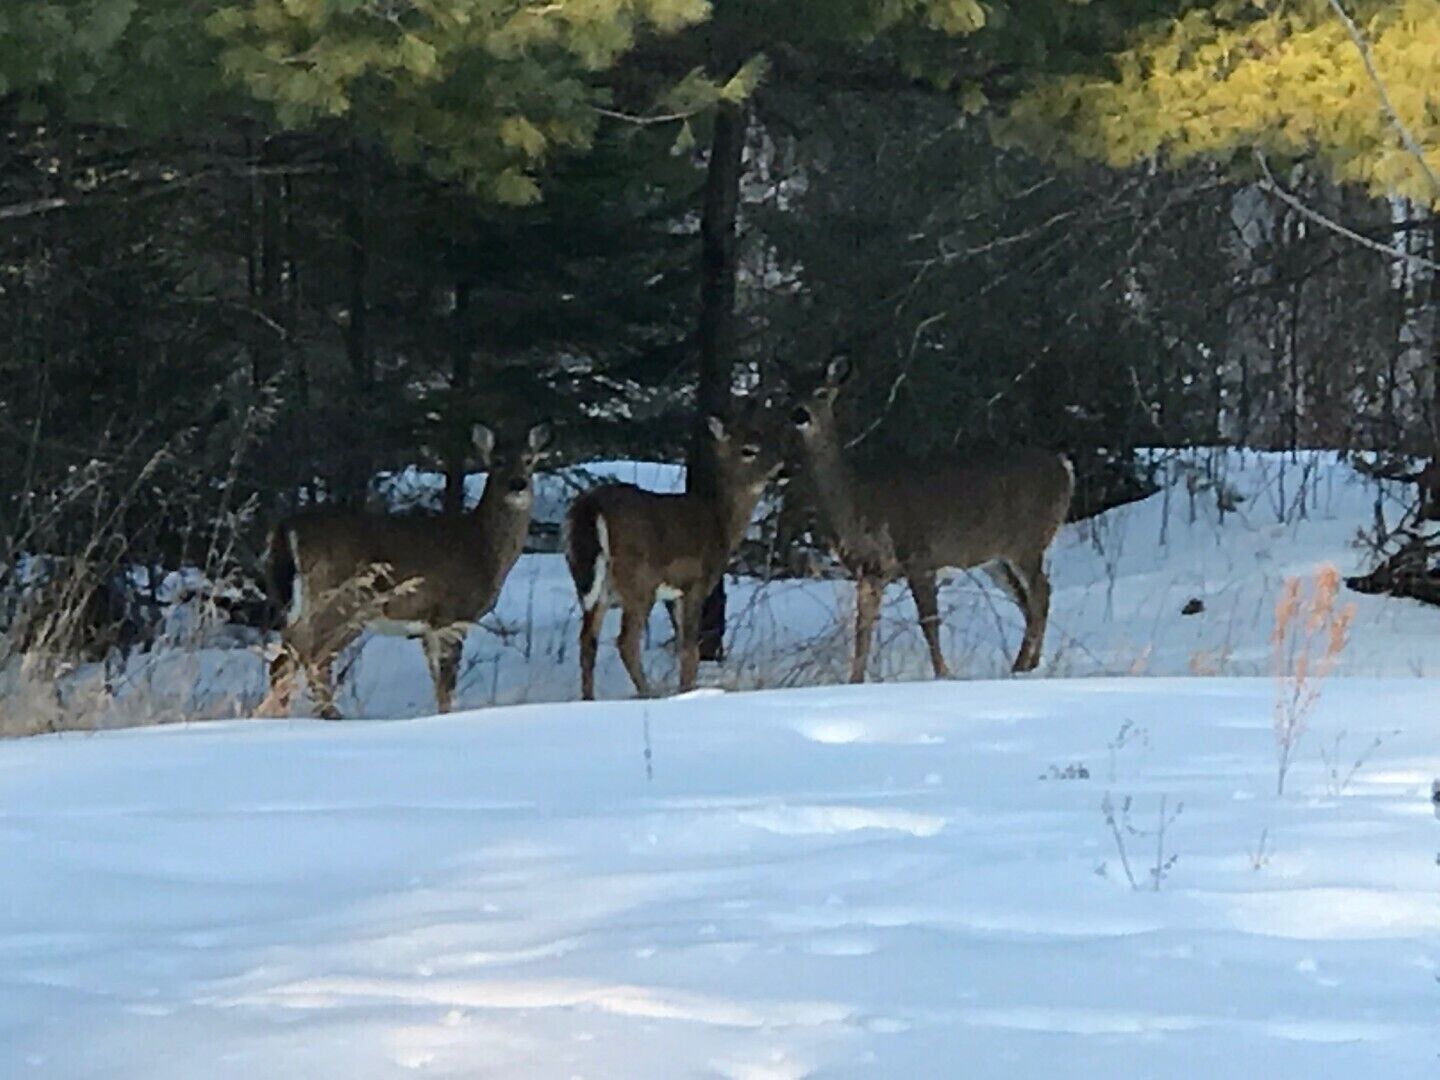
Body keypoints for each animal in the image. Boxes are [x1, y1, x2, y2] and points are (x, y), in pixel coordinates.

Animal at [259, 420, 553, 719]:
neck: (483, 547)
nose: (518, 484)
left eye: (529, 460)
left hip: (298, 605)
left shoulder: (429, 626)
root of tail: (285, 529)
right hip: (339, 599)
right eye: (498, 461)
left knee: (285, 662)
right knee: (311, 661)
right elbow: (447, 686)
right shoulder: (452, 615)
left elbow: (438, 684)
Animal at [564, 406, 784, 700]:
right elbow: (690, 649)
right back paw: (648, 692)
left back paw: (589, 699)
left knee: (587, 641)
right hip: (638, 582)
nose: (782, 468)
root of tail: (590, 506)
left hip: (590, 583)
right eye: (749, 450)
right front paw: (686, 692)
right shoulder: (695, 583)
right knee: (625, 642)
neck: (720, 521)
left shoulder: (674, 594)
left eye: (769, 441)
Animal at [787, 356, 1073, 682]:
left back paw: (1023, 666)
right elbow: (862, 630)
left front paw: (943, 674)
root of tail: (1064, 466)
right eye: (790, 393)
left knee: (1040, 592)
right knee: (1026, 599)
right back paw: (1025, 664)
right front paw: (854, 682)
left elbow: (929, 621)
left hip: (1028, 541)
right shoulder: (869, 570)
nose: (799, 414)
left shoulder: (918, 555)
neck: (856, 499)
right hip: (996, 558)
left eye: (821, 392)